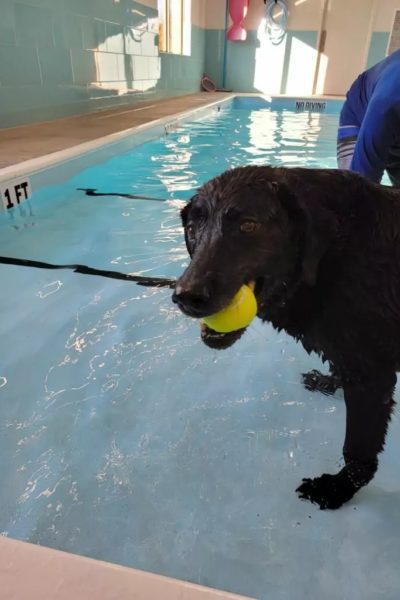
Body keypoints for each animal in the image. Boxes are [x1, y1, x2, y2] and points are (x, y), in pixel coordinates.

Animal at [172, 166, 400, 508]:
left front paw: (338, 488)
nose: (186, 296)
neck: (333, 255)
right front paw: (328, 381)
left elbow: (357, 450)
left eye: (248, 225)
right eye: (192, 227)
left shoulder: (373, 376)